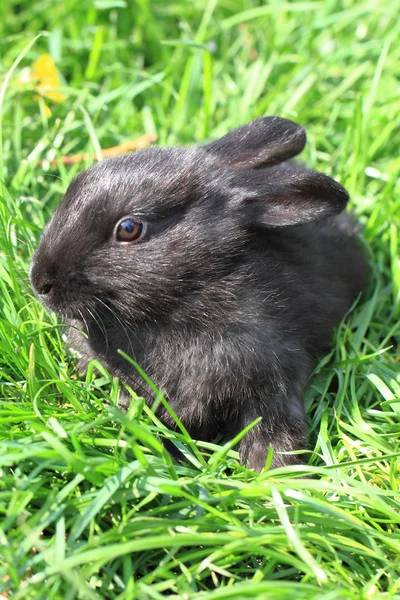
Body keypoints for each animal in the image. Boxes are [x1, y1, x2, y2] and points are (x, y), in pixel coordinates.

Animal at [29, 117, 370, 472]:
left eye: (129, 229)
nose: (40, 281)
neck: (183, 298)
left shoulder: (274, 376)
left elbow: (274, 430)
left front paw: (274, 473)